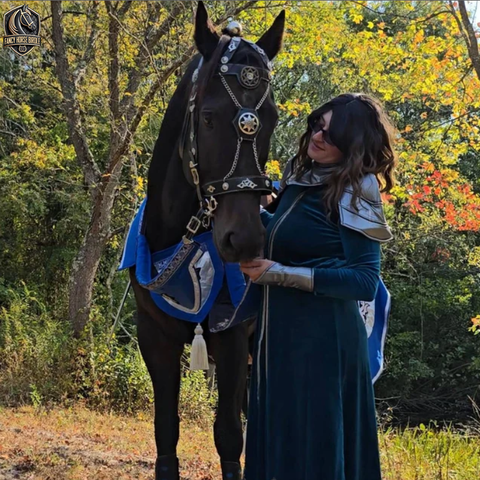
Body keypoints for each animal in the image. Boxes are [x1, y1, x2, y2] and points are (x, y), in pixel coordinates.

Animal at [128, 3, 284, 480]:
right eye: (209, 116)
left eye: (270, 118)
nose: (245, 240)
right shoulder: (154, 337)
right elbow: (165, 427)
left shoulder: (231, 340)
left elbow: (229, 435)